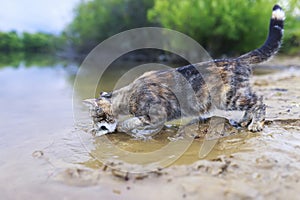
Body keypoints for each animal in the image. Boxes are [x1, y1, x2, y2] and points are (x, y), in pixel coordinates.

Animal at [83, 4, 284, 138]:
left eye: (96, 118)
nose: (92, 130)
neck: (127, 97)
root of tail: (236, 59)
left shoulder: (156, 113)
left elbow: (130, 122)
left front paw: (124, 127)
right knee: (253, 100)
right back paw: (244, 120)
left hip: (228, 98)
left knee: (259, 101)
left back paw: (256, 124)